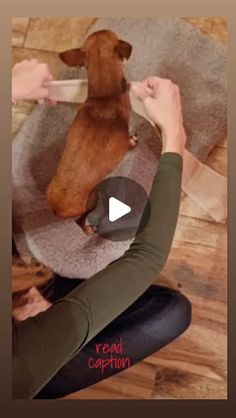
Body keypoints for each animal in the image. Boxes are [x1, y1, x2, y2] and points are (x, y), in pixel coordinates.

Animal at [45, 30, 136, 232]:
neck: (104, 96)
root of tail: (56, 207)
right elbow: (130, 140)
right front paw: (133, 141)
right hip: (93, 198)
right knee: (80, 221)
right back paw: (89, 229)